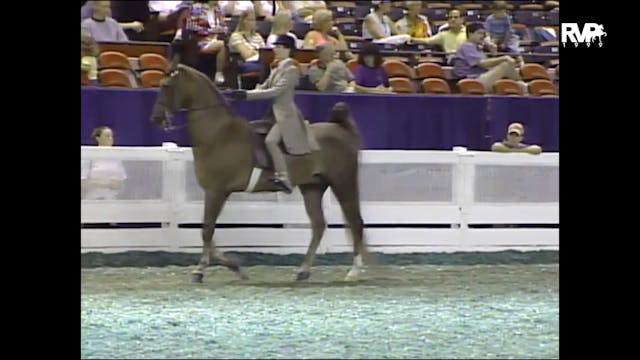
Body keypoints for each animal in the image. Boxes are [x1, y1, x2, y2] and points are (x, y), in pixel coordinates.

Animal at [151, 64, 368, 284]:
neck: (218, 134)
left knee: (355, 222)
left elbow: (206, 230)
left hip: (343, 183)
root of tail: (341, 128)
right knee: (318, 225)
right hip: (312, 187)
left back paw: (354, 271)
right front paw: (233, 266)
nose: (156, 118)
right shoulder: (214, 192)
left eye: (166, 85)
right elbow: (207, 232)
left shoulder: (216, 191)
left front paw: (201, 270)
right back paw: (303, 271)